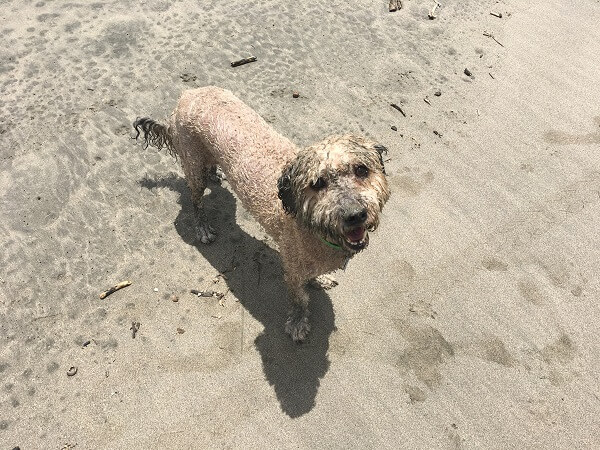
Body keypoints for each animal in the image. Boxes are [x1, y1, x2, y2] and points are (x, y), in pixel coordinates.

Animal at [134, 87, 392, 342]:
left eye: (361, 170)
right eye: (318, 183)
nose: (354, 215)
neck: (311, 226)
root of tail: (186, 94)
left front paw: (320, 279)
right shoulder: (292, 271)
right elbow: (299, 301)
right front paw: (297, 324)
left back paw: (215, 174)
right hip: (193, 164)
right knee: (196, 200)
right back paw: (203, 227)